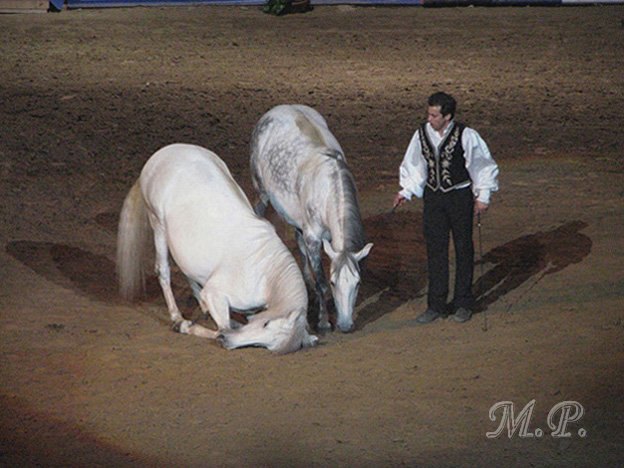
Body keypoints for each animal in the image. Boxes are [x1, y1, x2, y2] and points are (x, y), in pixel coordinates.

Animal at [116, 144, 316, 352]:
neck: (264, 273)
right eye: (266, 324)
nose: (227, 342)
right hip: (158, 225)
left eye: (263, 345)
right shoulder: (216, 295)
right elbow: (223, 327)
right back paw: (177, 317)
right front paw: (186, 326)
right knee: (163, 271)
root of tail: (161, 154)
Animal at [250, 106, 376, 332]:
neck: (326, 191)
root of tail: (274, 111)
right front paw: (324, 321)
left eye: (358, 283)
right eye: (334, 282)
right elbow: (321, 283)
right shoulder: (314, 238)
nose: (345, 325)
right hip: (261, 195)